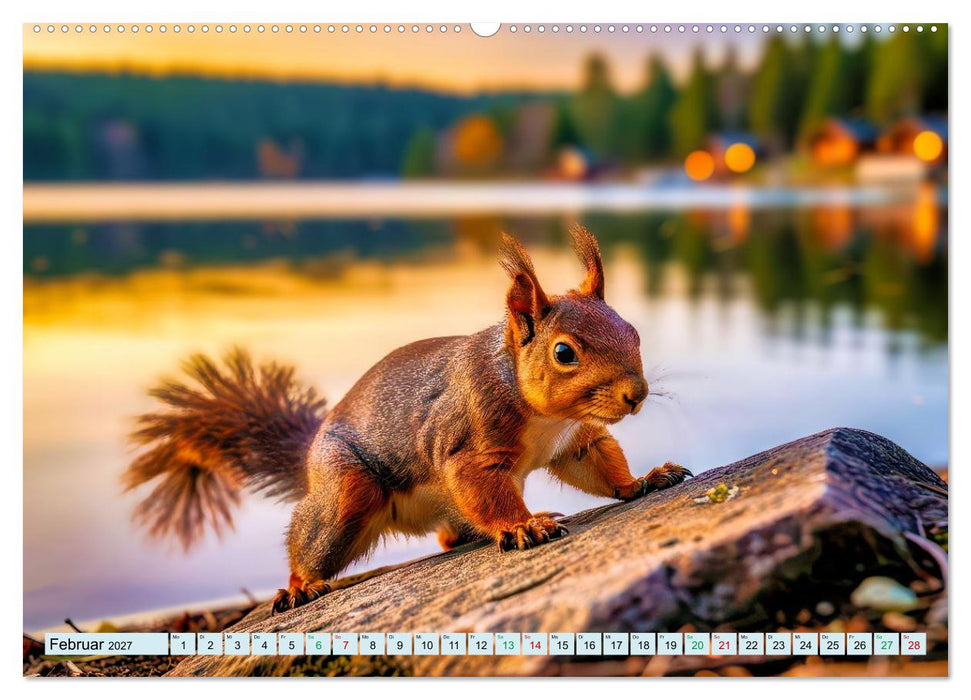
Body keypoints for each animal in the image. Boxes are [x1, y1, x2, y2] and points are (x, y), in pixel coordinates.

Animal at [123, 225, 691, 614]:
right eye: (564, 353)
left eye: (633, 330)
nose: (636, 394)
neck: (545, 416)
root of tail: (310, 458)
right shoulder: (468, 444)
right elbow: (486, 489)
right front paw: (523, 525)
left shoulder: (576, 440)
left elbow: (600, 465)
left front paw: (643, 480)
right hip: (347, 491)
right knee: (313, 533)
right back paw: (301, 585)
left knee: (446, 535)